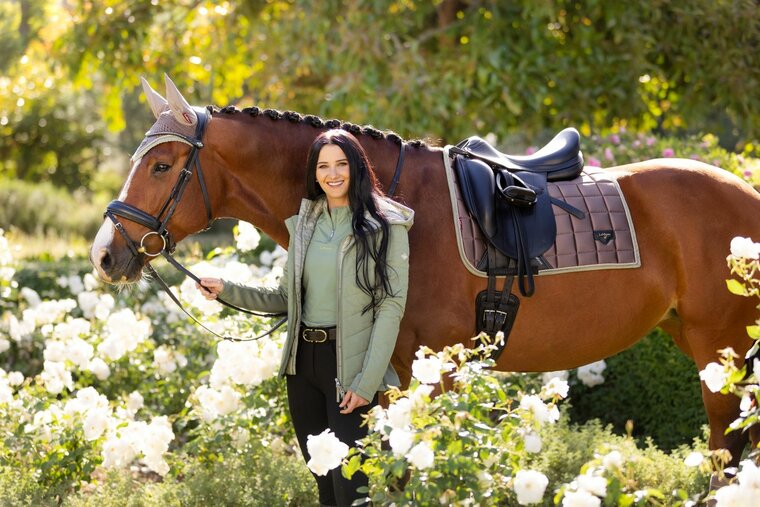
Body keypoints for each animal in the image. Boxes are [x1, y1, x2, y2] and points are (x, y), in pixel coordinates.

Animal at [90, 75, 760, 468]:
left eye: (163, 165)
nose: (104, 255)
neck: (387, 201)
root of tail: (745, 194)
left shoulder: (426, 371)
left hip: (720, 348)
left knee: (727, 453)